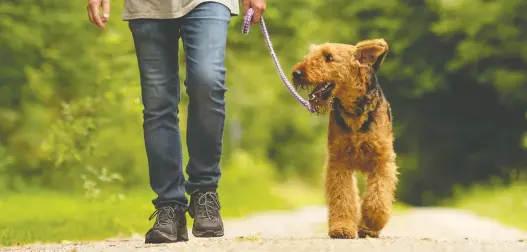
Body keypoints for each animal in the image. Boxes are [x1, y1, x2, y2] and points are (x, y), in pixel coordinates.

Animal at [290, 39, 398, 238]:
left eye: (328, 57)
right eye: (311, 54)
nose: (297, 73)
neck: (354, 113)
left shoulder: (382, 160)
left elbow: (377, 197)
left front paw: (370, 223)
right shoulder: (338, 162)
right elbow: (343, 197)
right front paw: (341, 228)